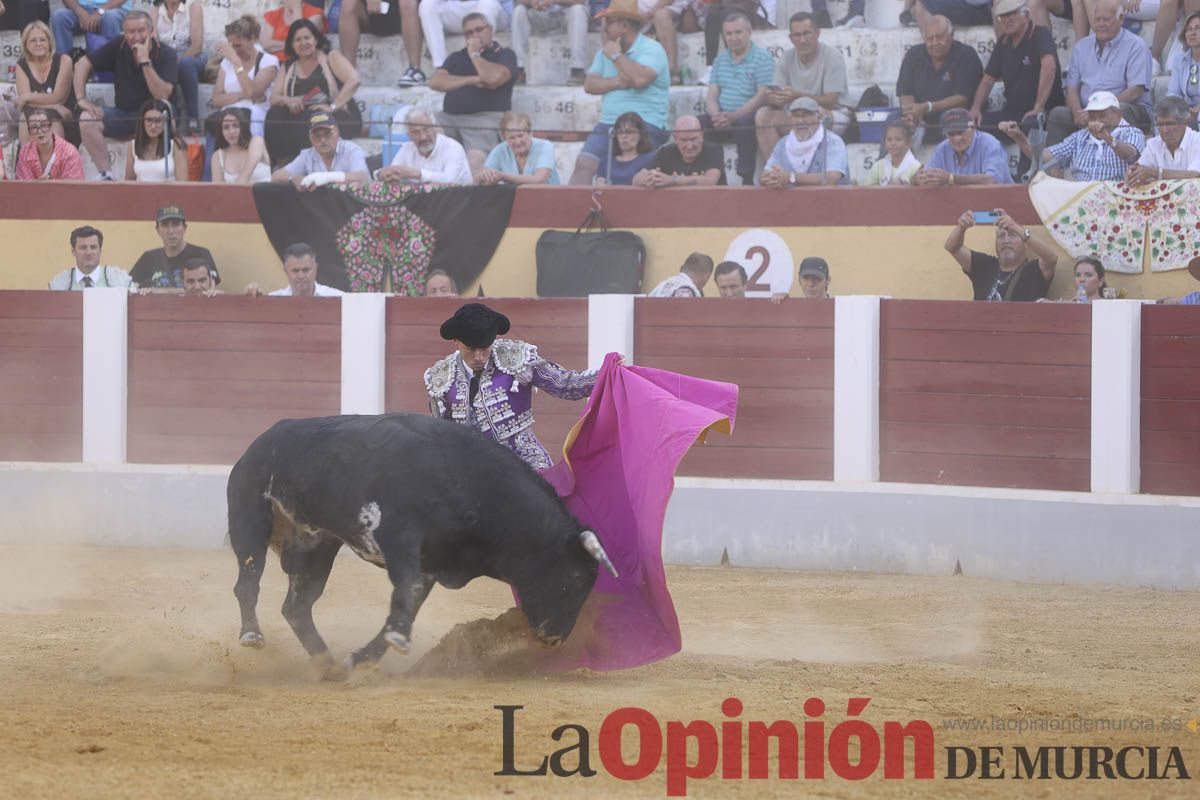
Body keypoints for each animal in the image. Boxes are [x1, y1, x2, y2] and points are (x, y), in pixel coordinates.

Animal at [226, 417, 619, 681]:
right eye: (576, 578)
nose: (555, 639)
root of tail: (260, 441)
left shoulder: (432, 562)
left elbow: (410, 599)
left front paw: (363, 659)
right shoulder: (401, 538)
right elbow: (407, 589)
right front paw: (397, 639)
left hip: (317, 546)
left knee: (297, 606)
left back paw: (328, 664)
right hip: (250, 518)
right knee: (248, 581)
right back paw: (252, 636)